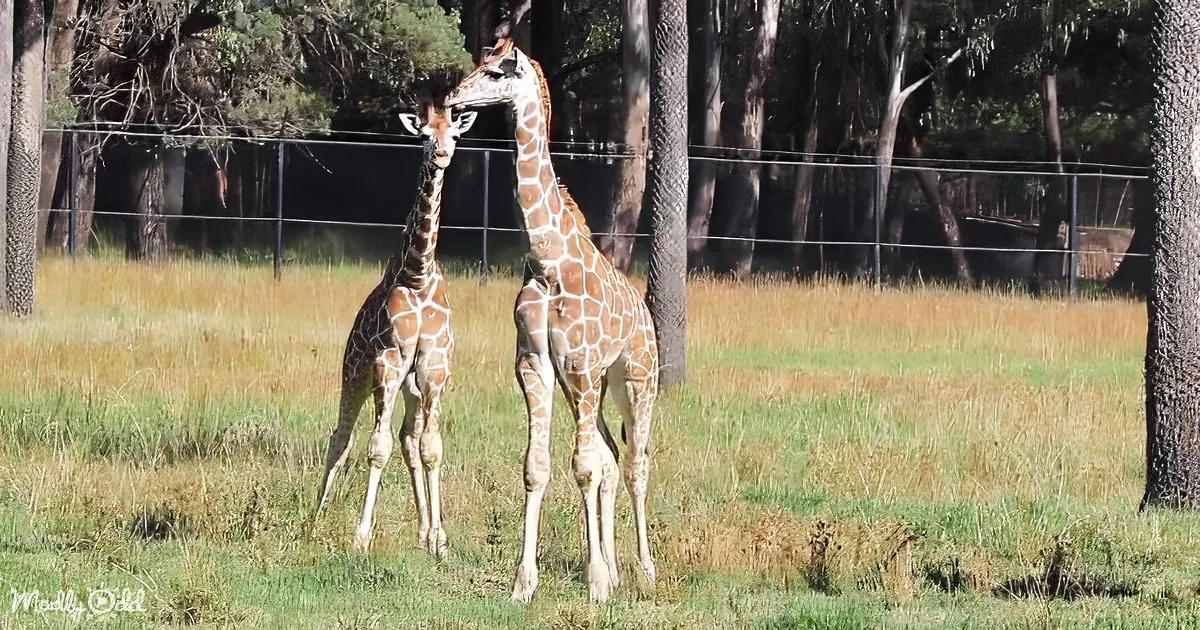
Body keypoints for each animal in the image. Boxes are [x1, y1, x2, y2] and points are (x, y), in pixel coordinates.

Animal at [314, 97, 477, 558]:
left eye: (453, 133)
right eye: (423, 135)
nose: (442, 155)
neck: (417, 274)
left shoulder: (434, 370)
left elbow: (429, 448)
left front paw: (439, 538)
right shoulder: (388, 362)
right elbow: (377, 448)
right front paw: (360, 536)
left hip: (411, 386)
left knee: (409, 438)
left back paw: (423, 531)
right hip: (356, 371)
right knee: (341, 437)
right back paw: (313, 521)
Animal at [445, 38, 659, 603]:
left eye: (498, 71)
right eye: (477, 63)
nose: (452, 99)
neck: (547, 260)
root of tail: (646, 316)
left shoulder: (581, 365)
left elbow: (583, 468)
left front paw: (596, 584)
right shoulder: (536, 365)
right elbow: (537, 468)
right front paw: (525, 583)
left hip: (635, 379)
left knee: (635, 463)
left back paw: (644, 569)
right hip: (592, 386)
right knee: (612, 457)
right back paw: (616, 567)